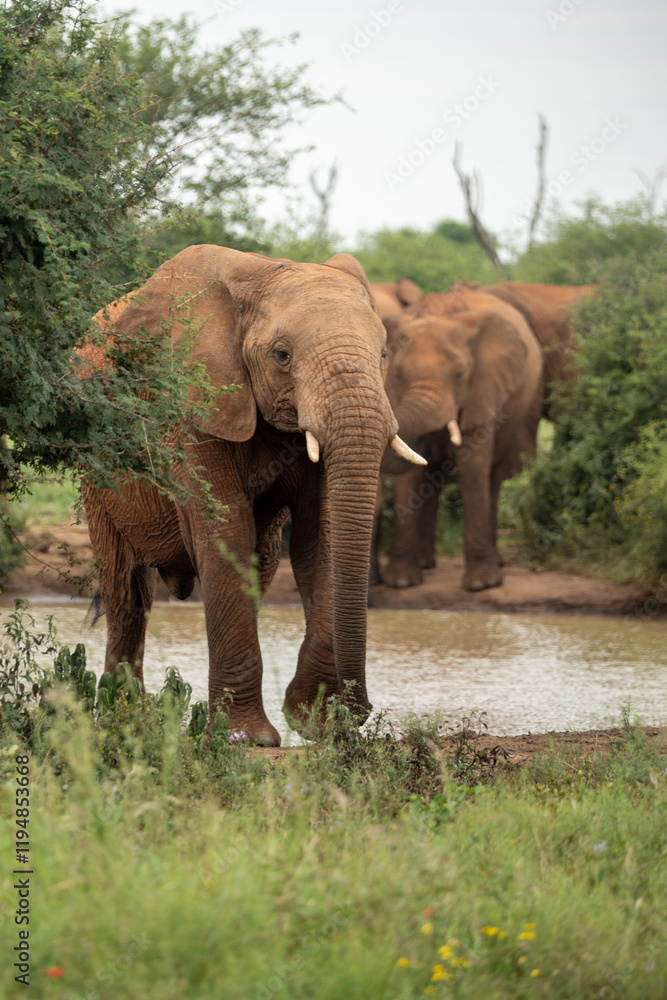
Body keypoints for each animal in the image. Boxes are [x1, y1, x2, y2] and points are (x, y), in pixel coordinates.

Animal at [79, 245, 426, 747]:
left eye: (382, 353)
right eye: (282, 355)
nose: (361, 714)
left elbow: (321, 538)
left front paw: (313, 720)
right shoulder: (192, 407)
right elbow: (225, 531)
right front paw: (249, 739)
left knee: (256, 572)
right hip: (94, 468)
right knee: (125, 591)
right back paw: (126, 722)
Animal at [374, 288, 543, 591]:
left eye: (461, 374)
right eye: (397, 374)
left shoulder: (484, 389)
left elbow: (472, 467)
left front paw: (482, 584)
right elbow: (410, 476)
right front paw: (402, 581)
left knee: (492, 477)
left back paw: (496, 562)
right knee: (433, 480)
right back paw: (424, 563)